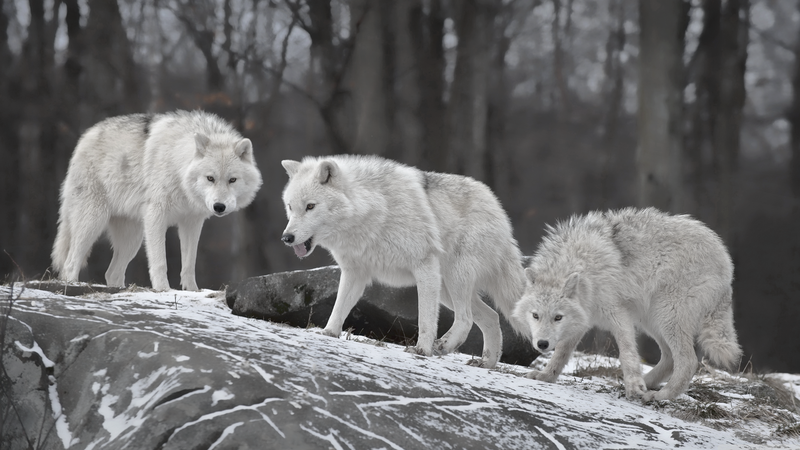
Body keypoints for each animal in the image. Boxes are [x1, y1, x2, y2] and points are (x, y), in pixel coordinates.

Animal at [52, 110, 263, 291]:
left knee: (112, 273)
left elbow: (189, 264)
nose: (219, 207)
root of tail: (85, 136)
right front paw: (163, 289)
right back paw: (71, 284)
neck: (178, 166)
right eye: (210, 178)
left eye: (232, 180)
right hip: (93, 222)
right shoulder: (156, 216)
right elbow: (160, 262)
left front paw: (192, 291)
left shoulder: (192, 222)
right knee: (70, 263)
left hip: (132, 239)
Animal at [279, 155, 525, 368]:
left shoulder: (424, 266)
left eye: (310, 206)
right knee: (491, 316)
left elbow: (425, 318)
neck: (372, 212)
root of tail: (497, 206)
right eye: (290, 207)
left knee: (466, 319)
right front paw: (328, 333)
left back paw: (443, 347)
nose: (286, 238)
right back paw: (486, 363)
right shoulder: (354, 273)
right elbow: (339, 308)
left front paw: (422, 350)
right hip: (446, 288)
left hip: (454, 278)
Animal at [512, 207, 741, 401]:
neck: (584, 267)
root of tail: (727, 262)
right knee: (669, 359)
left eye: (557, 317)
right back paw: (645, 384)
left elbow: (627, 353)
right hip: (651, 320)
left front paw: (634, 386)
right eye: (535, 315)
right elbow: (561, 353)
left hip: (666, 316)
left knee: (688, 362)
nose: (542, 344)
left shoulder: (618, 314)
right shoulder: (582, 320)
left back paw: (660, 395)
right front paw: (545, 376)